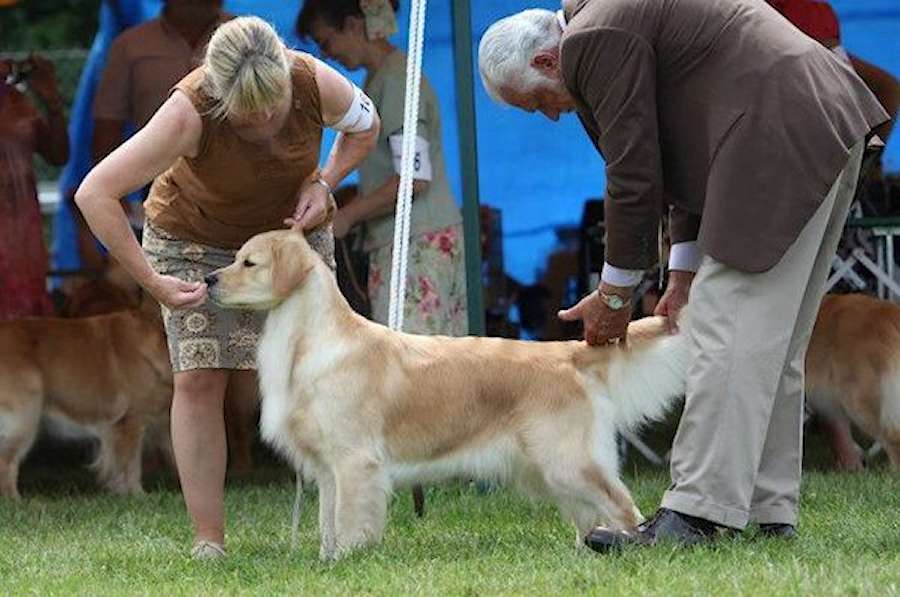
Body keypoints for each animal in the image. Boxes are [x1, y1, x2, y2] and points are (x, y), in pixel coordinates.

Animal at [0, 298, 172, 498]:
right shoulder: (130, 421)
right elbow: (130, 465)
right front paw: (137, 495)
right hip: (25, 416)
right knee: (6, 462)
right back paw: (14, 499)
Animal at [206, 228, 688, 560]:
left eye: (249, 263)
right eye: (235, 259)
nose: (208, 279)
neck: (308, 340)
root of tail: (567, 352)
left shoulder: (355, 461)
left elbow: (349, 519)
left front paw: (347, 558)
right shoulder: (328, 469)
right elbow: (328, 520)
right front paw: (327, 561)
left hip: (568, 460)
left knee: (622, 505)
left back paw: (630, 547)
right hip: (551, 469)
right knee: (590, 514)